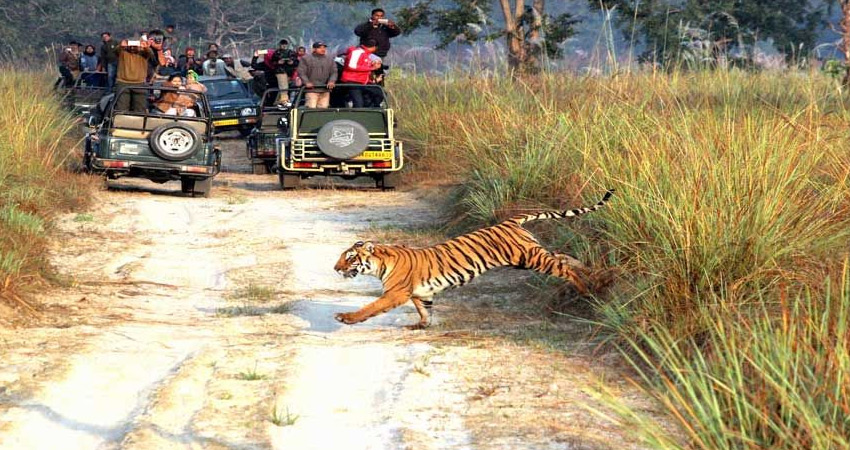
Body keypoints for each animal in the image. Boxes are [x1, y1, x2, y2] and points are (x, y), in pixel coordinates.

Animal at [328, 188, 612, 328]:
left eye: (350, 258)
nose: (334, 268)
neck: (379, 264)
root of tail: (511, 220)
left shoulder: (396, 293)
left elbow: (371, 307)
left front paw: (346, 318)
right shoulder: (421, 294)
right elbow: (425, 311)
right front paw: (421, 326)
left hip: (531, 258)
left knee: (564, 268)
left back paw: (587, 287)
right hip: (530, 256)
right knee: (563, 256)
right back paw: (594, 274)